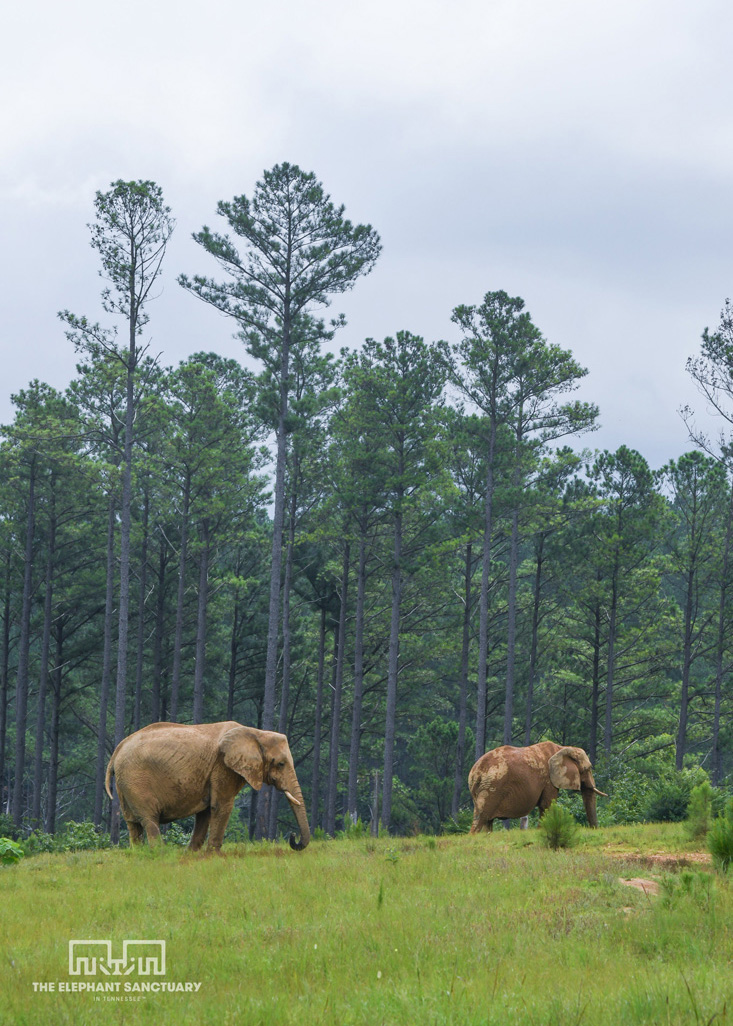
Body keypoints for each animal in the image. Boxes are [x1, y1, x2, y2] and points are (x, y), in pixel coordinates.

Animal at [104, 718, 305, 853]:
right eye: (281, 764)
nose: (292, 836)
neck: (256, 733)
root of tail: (117, 750)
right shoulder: (223, 766)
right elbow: (221, 806)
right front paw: (214, 855)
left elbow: (206, 811)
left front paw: (192, 854)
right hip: (136, 780)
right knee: (148, 818)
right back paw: (159, 852)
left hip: (126, 783)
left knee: (132, 822)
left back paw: (140, 853)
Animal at [468, 742, 603, 829]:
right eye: (587, 769)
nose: (593, 829)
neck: (563, 748)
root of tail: (476, 771)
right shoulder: (549, 779)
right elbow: (547, 804)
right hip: (492, 787)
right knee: (481, 818)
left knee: (486, 821)